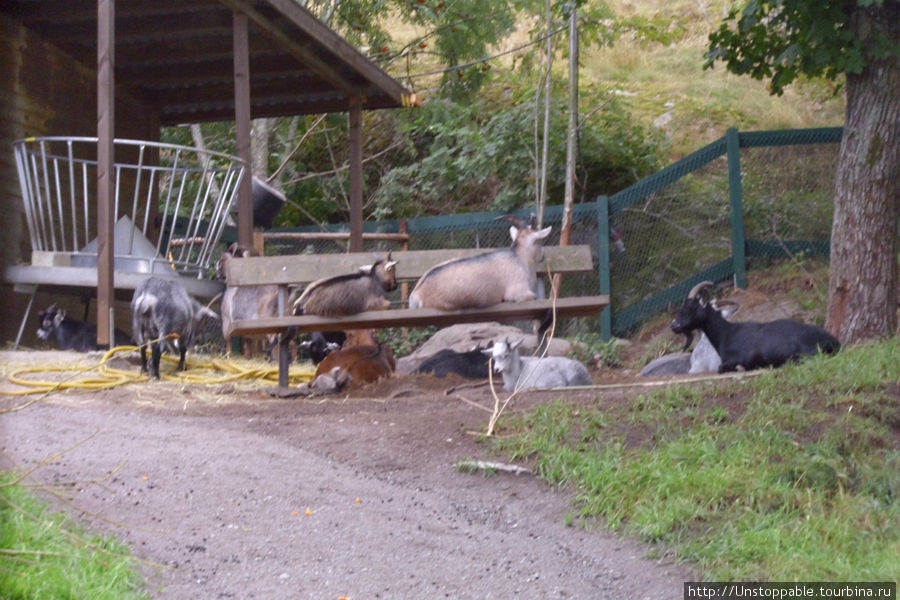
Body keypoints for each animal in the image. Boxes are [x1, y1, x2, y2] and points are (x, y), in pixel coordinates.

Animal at [672, 280, 840, 372]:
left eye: (691, 308)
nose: (674, 325)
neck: (727, 333)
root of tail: (834, 342)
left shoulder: (734, 359)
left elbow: (722, 368)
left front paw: (740, 368)